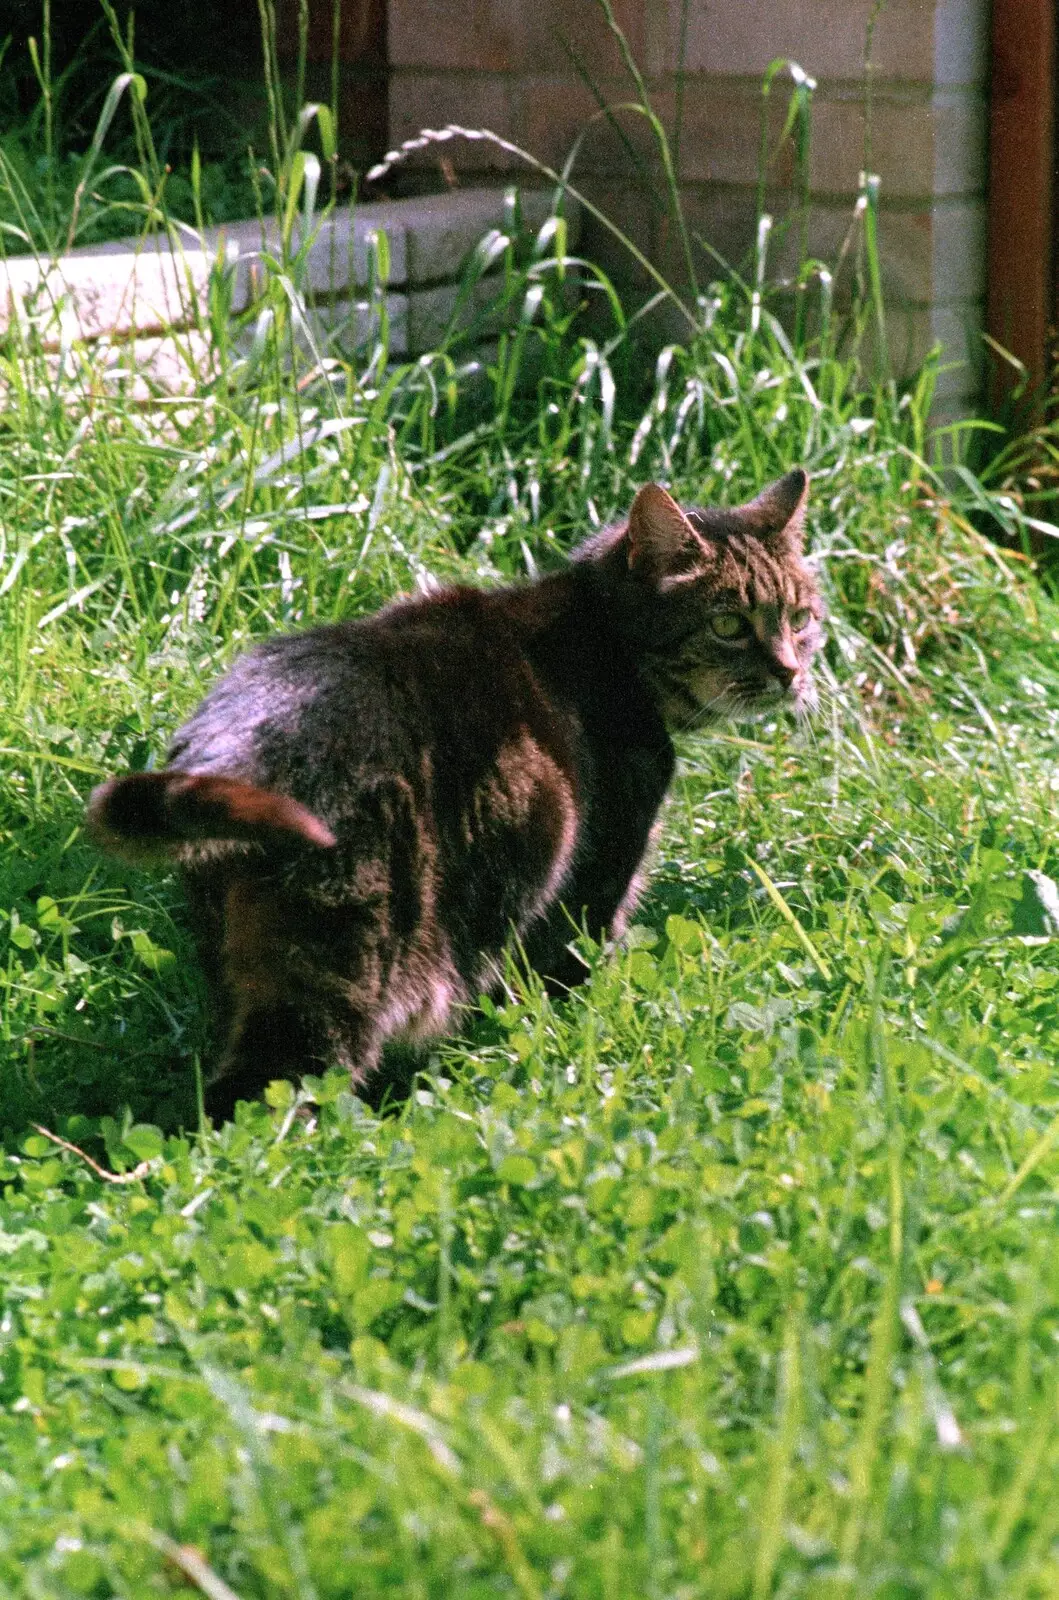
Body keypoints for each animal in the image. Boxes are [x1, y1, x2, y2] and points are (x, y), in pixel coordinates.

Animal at [87, 467, 825, 1120]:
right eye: (728, 624)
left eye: (799, 616)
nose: (790, 672)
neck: (601, 633)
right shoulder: (595, 879)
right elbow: (565, 986)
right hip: (332, 973)